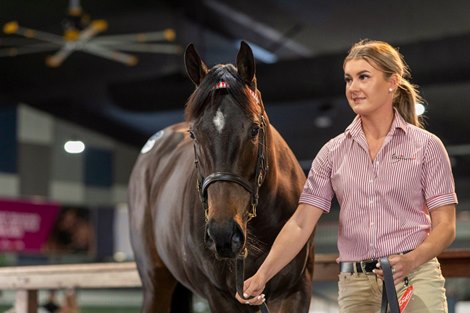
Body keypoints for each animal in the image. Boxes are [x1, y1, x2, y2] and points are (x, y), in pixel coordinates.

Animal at [126, 41, 314, 312]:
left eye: (254, 129)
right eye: (193, 134)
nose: (223, 234)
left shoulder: (296, 290)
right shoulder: (220, 296)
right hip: (155, 281)